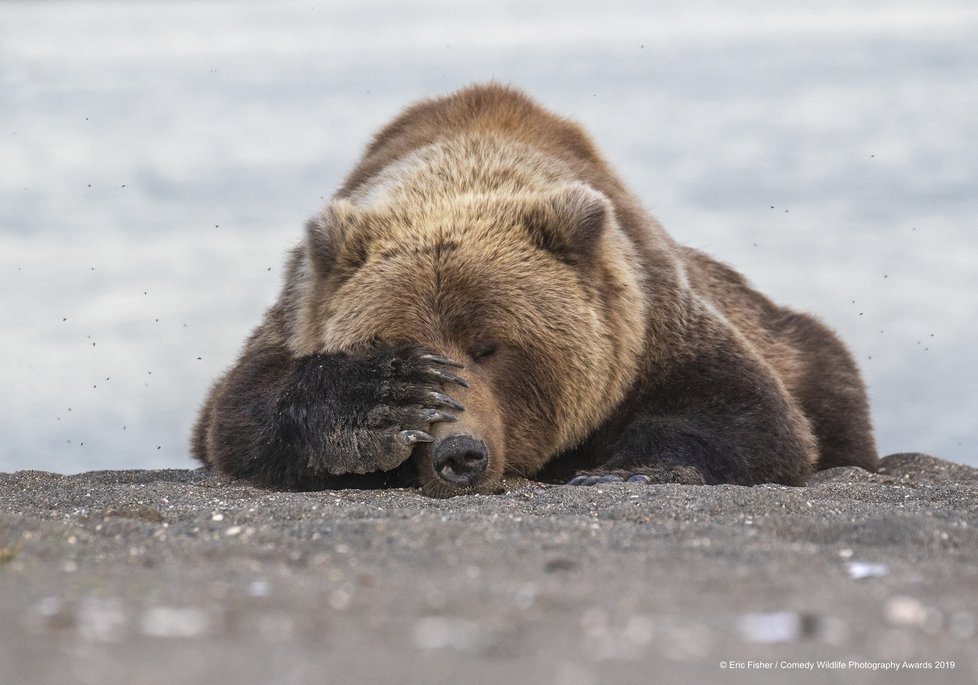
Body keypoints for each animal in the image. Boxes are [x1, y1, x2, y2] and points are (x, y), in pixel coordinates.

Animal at [191, 84, 876, 496]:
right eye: (398, 343)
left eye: (490, 346)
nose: (458, 455)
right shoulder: (299, 309)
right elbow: (238, 411)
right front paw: (378, 402)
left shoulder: (650, 322)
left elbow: (747, 414)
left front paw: (626, 472)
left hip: (798, 345)